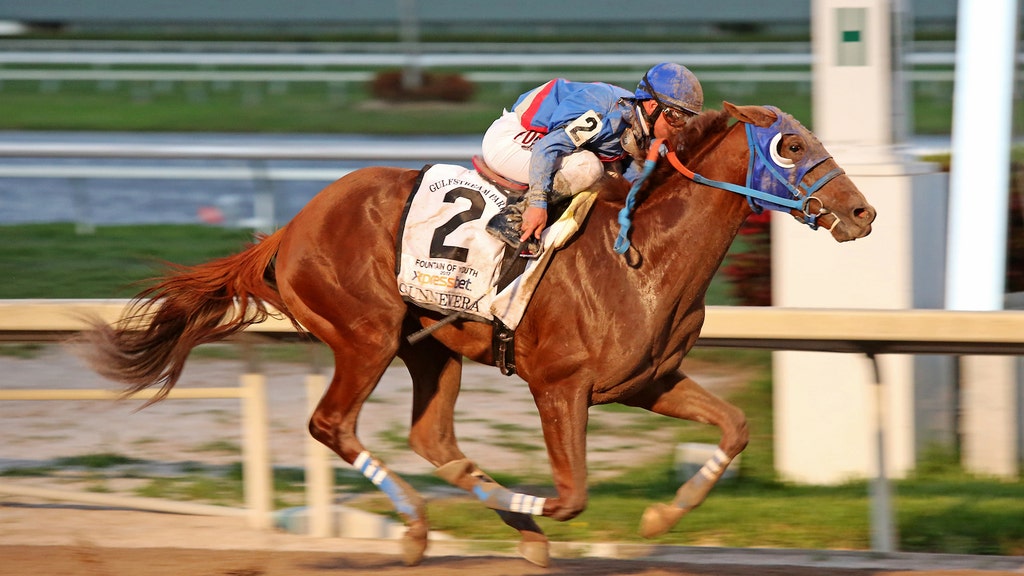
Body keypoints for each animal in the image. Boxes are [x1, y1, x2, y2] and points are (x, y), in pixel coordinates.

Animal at [83, 103, 876, 565]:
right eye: (791, 144)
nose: (863, 212)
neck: (643, 254)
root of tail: (292, 228)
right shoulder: (560, 386)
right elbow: (571, 497)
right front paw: (538, 523)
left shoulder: (648, 382)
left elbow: (736, 426)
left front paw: (658, 518)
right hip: (367, 334)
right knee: (333, 424)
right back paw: (419, 529)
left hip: (431, 348)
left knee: (433, 437)